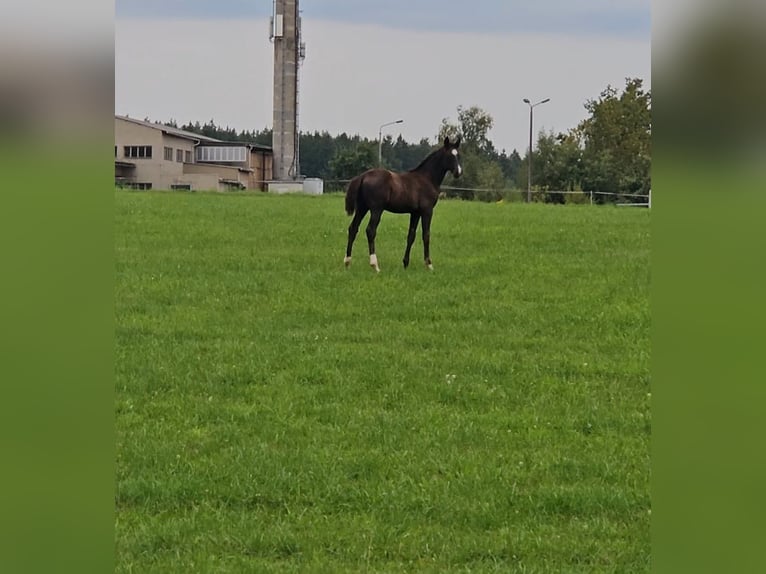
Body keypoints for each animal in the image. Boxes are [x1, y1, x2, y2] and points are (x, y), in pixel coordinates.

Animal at [344, 136, 462, 272]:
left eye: (458, 155)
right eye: (449, 155)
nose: (458, 172)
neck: (427, 178)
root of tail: (363, 176)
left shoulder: (415, 213)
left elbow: (411, 235)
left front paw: (405, 263)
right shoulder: (427, 211)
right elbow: (426, 235)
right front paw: (429, 264)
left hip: (362, 208)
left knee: (353, 228)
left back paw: (347, 262)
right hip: (376, 209)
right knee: (370, 230)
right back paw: (375, 265)